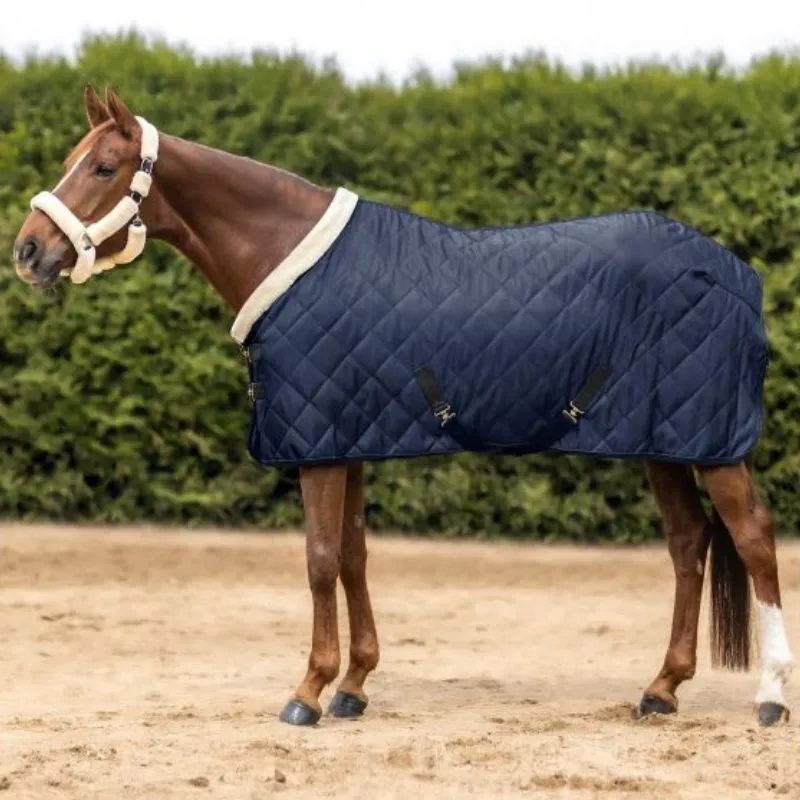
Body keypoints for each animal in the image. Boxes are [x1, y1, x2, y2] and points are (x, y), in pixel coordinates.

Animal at [11, 86, 793, 728]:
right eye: (71, 160)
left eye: (102, 168)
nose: (28, 251)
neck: (290, 258)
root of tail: (738, 274)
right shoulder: (350, 436)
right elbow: (354, 554)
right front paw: (354, 685)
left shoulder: (320, 444)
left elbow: (320, 558)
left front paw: (308, 691)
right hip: (666, 438)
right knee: (689, 542)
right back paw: (661, 689)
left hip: (710, 443)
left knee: (752, 536)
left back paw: (771, 696)